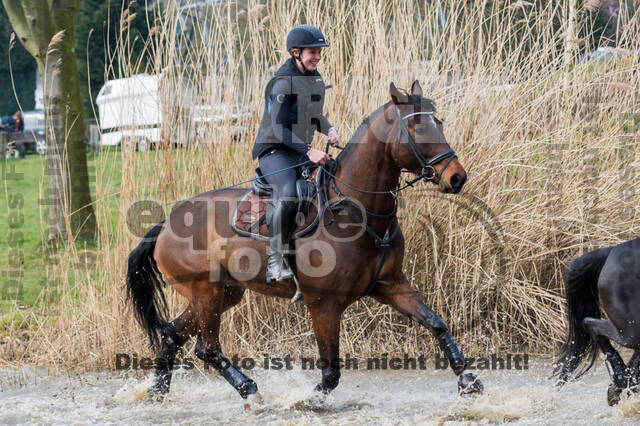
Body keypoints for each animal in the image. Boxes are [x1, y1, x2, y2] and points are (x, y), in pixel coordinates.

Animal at [127, 81, 482, 404]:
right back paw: (249, 390)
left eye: (439, 123)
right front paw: (309, 400)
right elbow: (331, 370)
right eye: (416, 126)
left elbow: (437, 324)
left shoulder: (391, 285)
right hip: (206, 292)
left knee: (172, 335)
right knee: (207, 347)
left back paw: (157, 393)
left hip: (224, 293)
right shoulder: (323, 303)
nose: (457, 177)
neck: (357, 209)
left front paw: (468, 380)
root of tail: (166, 223)